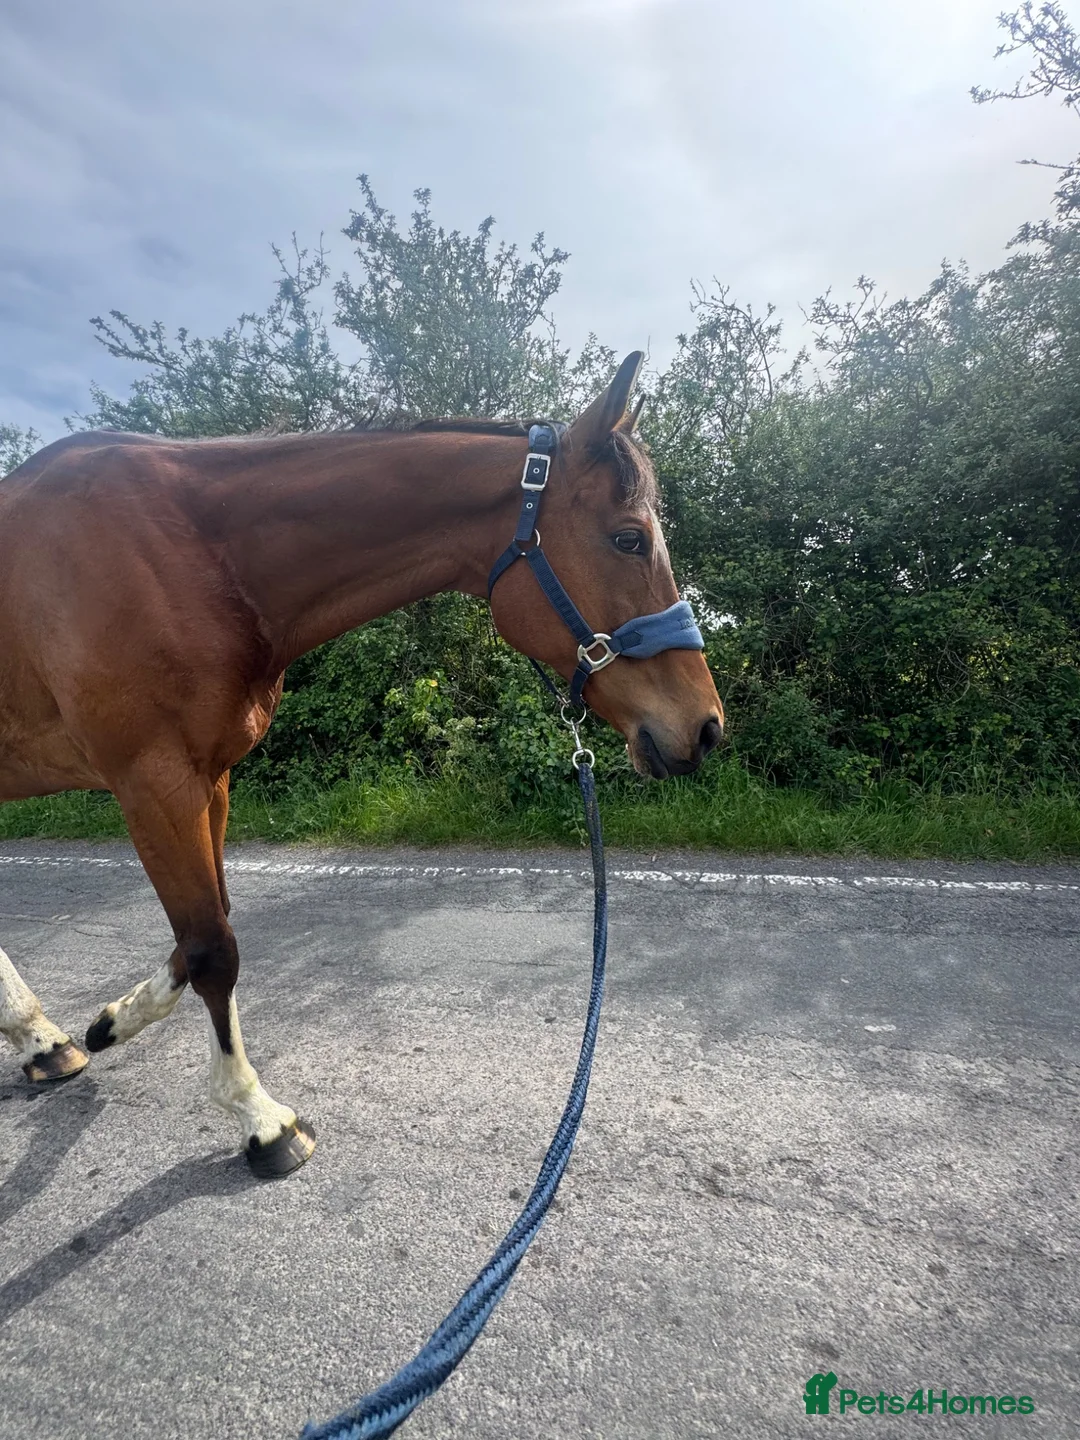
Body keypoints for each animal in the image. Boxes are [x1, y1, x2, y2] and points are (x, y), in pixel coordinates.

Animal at [0, 352, 722, 1177]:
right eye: (629, 539)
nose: (705, 728)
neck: (196, 554)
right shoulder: (154, 780)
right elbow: (213, 947)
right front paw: (260, 1119)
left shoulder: (208, 780)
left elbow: (204, 930)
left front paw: (113, 1022)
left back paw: (43, 1042)